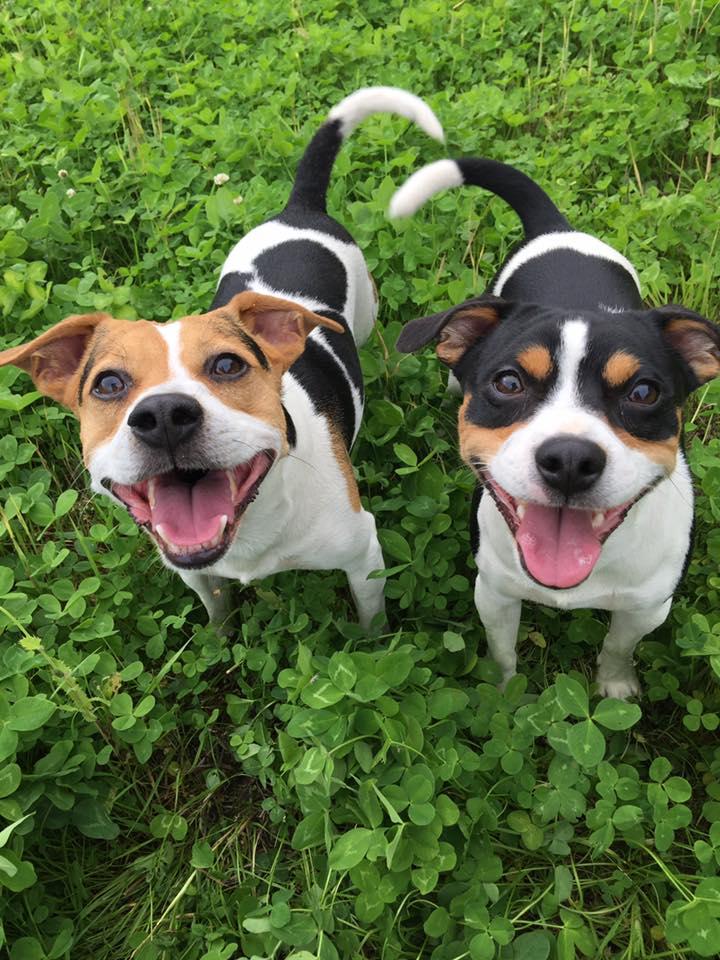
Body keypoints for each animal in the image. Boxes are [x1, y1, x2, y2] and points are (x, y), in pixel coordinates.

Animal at [0, 88, 444, 632]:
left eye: (229, 366)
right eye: (107, 384)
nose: (163, 416)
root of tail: (300, 209)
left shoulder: (364, 556)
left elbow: (371, 621)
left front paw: (372, 644)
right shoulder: (194, 570)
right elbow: (217, 612)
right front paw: (220, 638)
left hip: (365, 311)